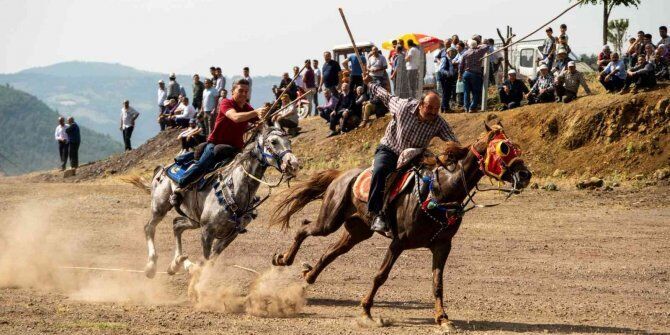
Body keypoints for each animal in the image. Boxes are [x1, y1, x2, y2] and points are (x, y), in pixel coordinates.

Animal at [128, 124, 300, 280]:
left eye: (289, 141)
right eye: (273, 141)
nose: (293, 164)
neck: (234, 190)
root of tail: (164, 169)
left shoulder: (230, 234)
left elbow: (210, 260)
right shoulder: (207, 232)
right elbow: (206, 259)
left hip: (194, 219)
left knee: (176, 225)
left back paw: (177, 264)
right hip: (160, 207)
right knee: (149, 228)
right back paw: (151, 266)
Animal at [270, 123, 532, 330]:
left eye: (515, 147)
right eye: (504, 148)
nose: (525, 175)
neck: (440, 191)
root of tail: (343, 175)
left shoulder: (442, 245)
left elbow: (437, 283)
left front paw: (443, 318)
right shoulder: (399, 243)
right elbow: (380, 276)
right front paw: (366, 311)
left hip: (357, 231)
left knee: (330, 253)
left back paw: (309, 275)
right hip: (329, 220)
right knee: (304, 227)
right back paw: (283, 259)